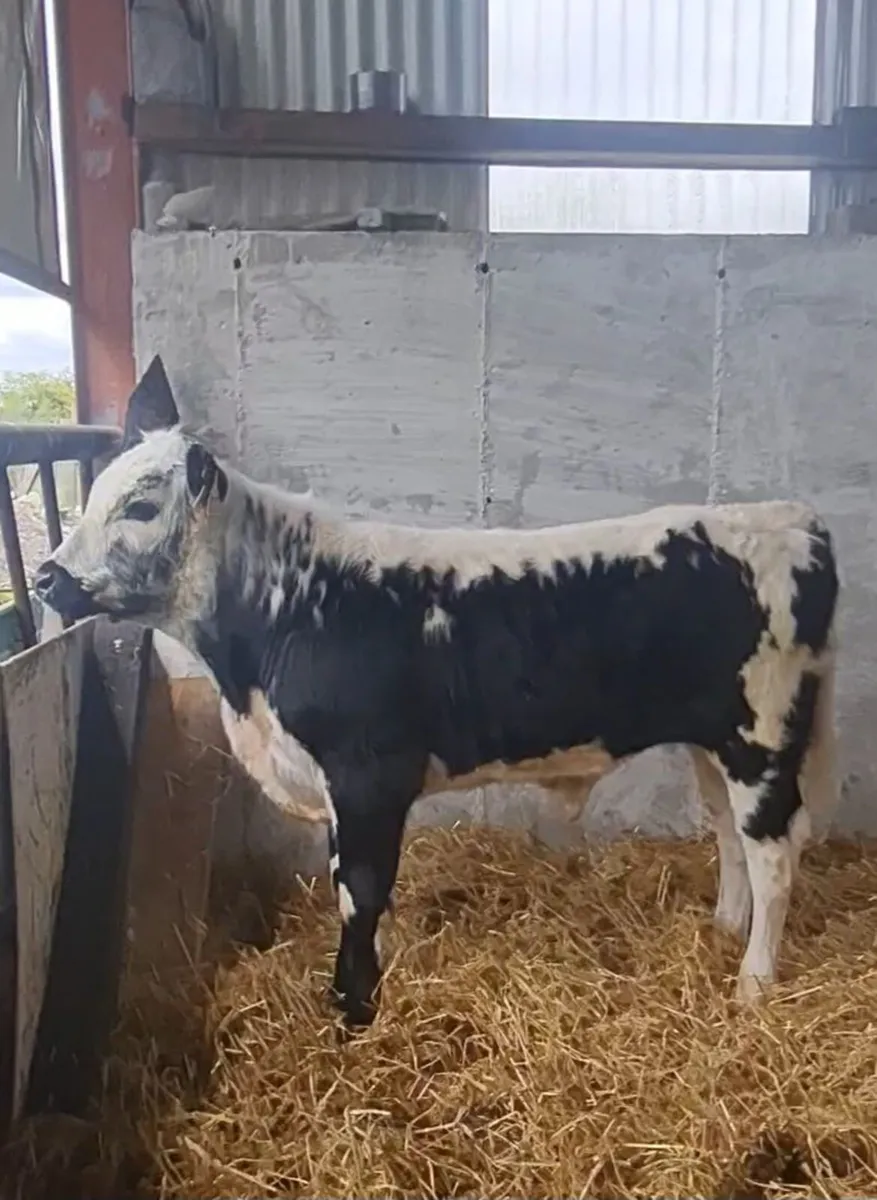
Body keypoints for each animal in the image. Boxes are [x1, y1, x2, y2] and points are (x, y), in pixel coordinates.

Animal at [33, 355, 840, 1028]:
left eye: (140, 508)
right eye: (93, 489)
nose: (45, 578)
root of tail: (789, 518)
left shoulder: (366, 774)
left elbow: (359, 888)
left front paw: (353, 1008)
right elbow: (355, 884)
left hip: (763, 735)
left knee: (772, 850)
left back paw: (753, 982)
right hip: (713, 739)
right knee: (728, 832)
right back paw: (722, 931)